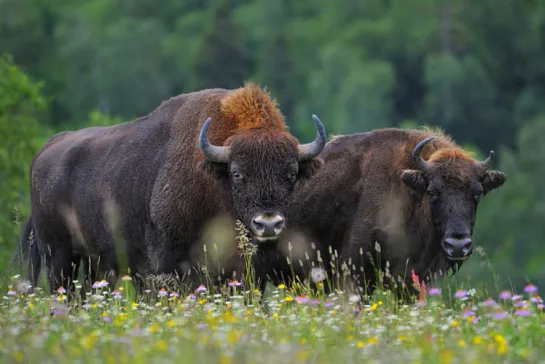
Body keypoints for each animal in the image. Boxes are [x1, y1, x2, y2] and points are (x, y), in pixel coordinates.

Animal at [17, 83, 326, 296]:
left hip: (95, 261)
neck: (213, 179)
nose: (269, 223)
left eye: (291, 174)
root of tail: (45, 150)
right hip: (58, 255)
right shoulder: (167, 260)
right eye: (237, 173)